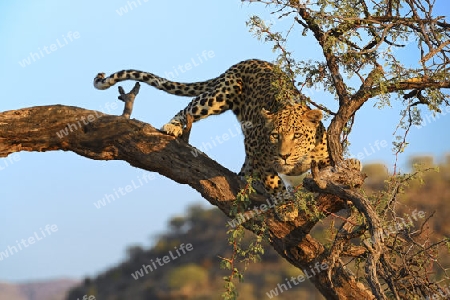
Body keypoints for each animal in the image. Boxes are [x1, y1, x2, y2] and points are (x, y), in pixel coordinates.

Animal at [93, 58, 356, 218]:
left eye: (298, 136)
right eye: (274, 135)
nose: (284, 155)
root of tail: (245, 61)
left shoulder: (322, 157)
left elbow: (336, 171)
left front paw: (350, 177)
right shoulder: (257, 148)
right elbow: (274, 182)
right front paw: (287, 206)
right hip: (220, 95)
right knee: (190, 108)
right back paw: (172, 126)